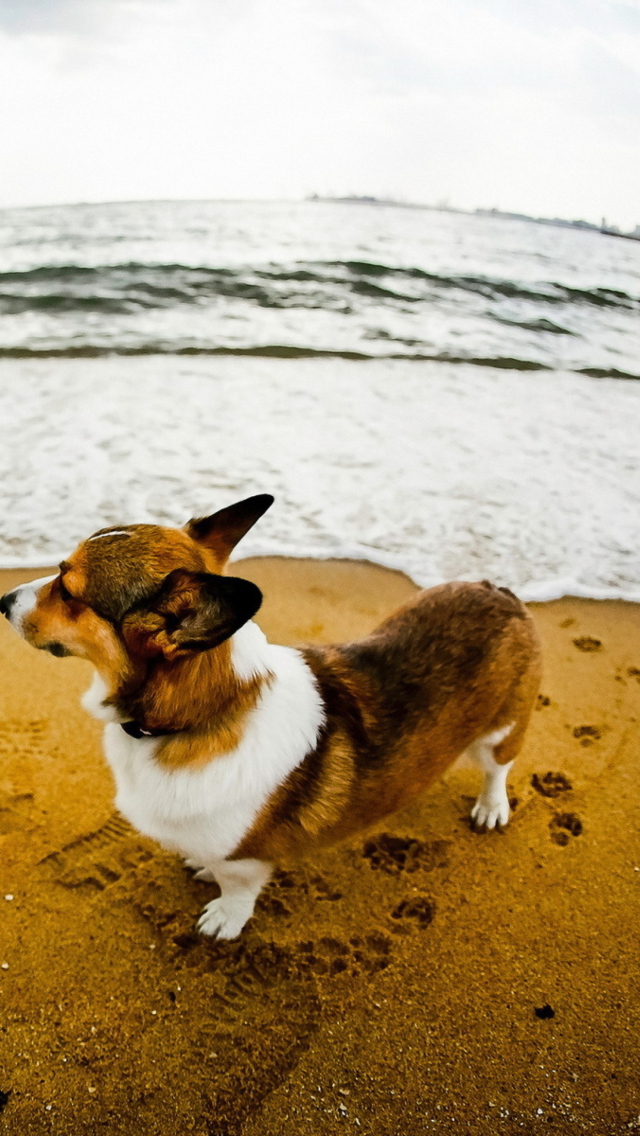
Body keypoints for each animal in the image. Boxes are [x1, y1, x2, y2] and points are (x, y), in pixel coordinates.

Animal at [0, 497, 541, 940]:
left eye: (69, 592)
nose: (3, 600)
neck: (201, 712)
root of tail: (499, 589)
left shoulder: (245, 860)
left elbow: (237, 891)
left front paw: (224, 918)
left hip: (501, 731)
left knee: (498, 767)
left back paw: (491, 807)